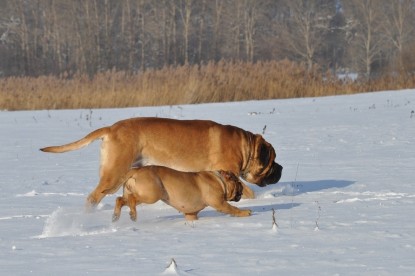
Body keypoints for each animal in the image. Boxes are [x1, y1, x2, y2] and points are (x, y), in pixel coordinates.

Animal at [112, 166, 252, 222]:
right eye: (237, 182)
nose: (241, 186)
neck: (220, 180)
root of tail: (136, 170)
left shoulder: (191, 214)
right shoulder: (219, 203)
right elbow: (232, 208)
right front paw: (245, 212)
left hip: (141, 193)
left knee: (120, 199)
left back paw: (116, 216)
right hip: (152, 194)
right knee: (132, 199)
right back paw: (133, 215)